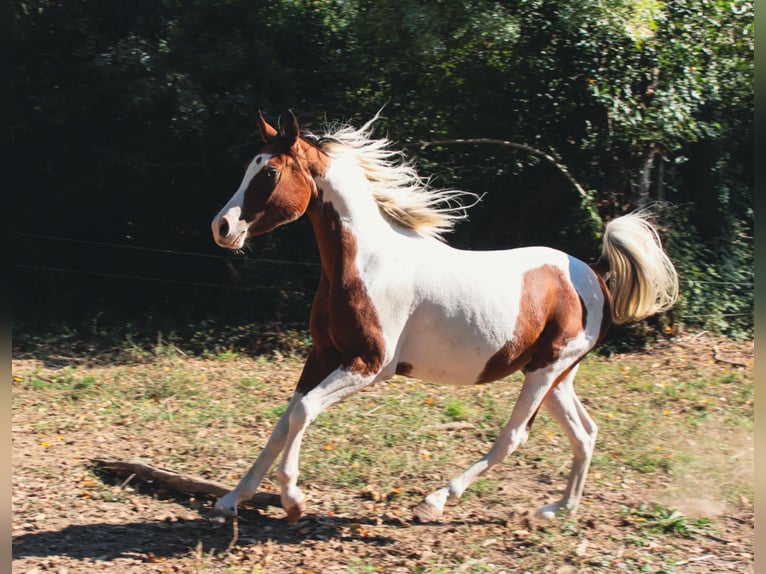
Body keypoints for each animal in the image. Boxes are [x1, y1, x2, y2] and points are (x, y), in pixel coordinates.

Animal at [209, 110, 679, 524]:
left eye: (270, 173)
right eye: (249, 168)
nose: (222, 227)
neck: (367, 262)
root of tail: (594, 273)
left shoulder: (370, 365)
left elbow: (303, 412)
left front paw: (293, 500)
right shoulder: (323, 355)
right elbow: (285, 420)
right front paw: (231, 500)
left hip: (546, 370)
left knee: (513, 437)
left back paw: (434, 501)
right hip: (555, 374)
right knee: (585, 432)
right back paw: (557, 510)